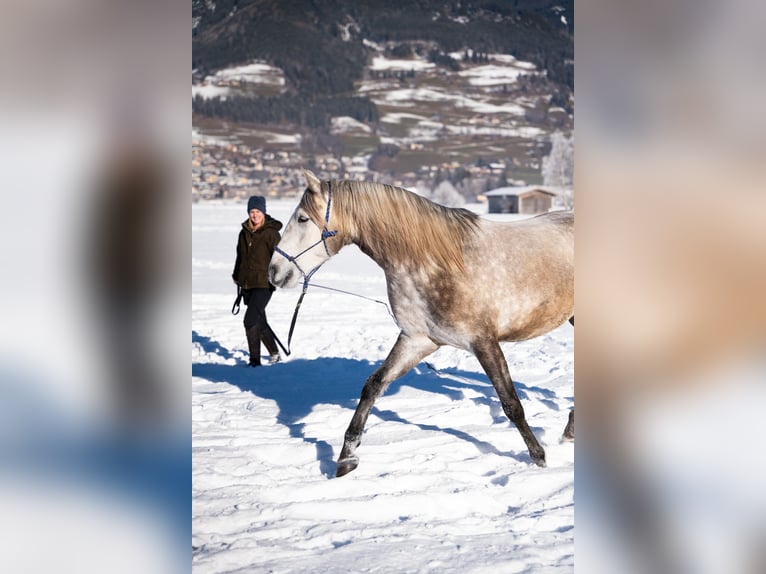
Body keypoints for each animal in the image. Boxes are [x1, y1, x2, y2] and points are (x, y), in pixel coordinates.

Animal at [270, 170, 576, 476]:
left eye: (302, 218)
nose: (274, 271)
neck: (436, 264)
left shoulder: (484, 342)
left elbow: (511, 403)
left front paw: (538, 457)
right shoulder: (418, 340)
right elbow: (373, 386)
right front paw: (347, 457)